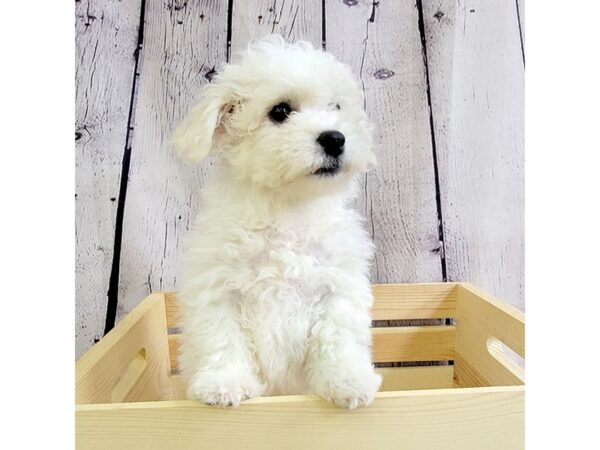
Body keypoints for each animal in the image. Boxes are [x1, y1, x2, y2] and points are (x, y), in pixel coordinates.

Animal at [172, 35, 380, 408]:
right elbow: (222, 338)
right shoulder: (218, 289)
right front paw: (224, 382)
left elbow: (337, 338)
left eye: (336, 107)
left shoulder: (337, 288)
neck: (288, 210)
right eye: (280, 111)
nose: (335, 138)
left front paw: (348, 381)